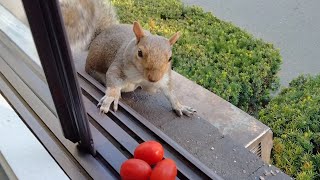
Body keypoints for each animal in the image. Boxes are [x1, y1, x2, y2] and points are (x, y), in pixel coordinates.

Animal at [59, 0, 195, 116]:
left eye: (170, 58)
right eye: (140, 53)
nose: (154, 79)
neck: (141, 76)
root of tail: (100, 35)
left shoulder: (165, 78)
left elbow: (170, 93)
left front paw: (180, 106)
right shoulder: (120, 63)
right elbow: (113, 78)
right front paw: (111, 97)